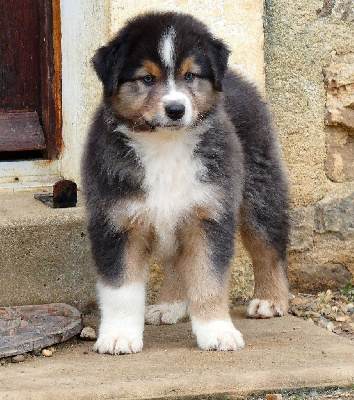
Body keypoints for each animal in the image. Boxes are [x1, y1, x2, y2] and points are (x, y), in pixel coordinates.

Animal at [81, 11, 290, 354]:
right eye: (147, 79)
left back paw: (270, 300)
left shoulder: (210, 214)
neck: (165, 145)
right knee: (177, 262)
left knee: (268, 246)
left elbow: (207, 280)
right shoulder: (116, 221)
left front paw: (217, 331)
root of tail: (236, 78)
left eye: (190, 76)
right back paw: (170, 305)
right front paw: (119, 336)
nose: (176, 109)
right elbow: (121, 289)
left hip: (259, 190)